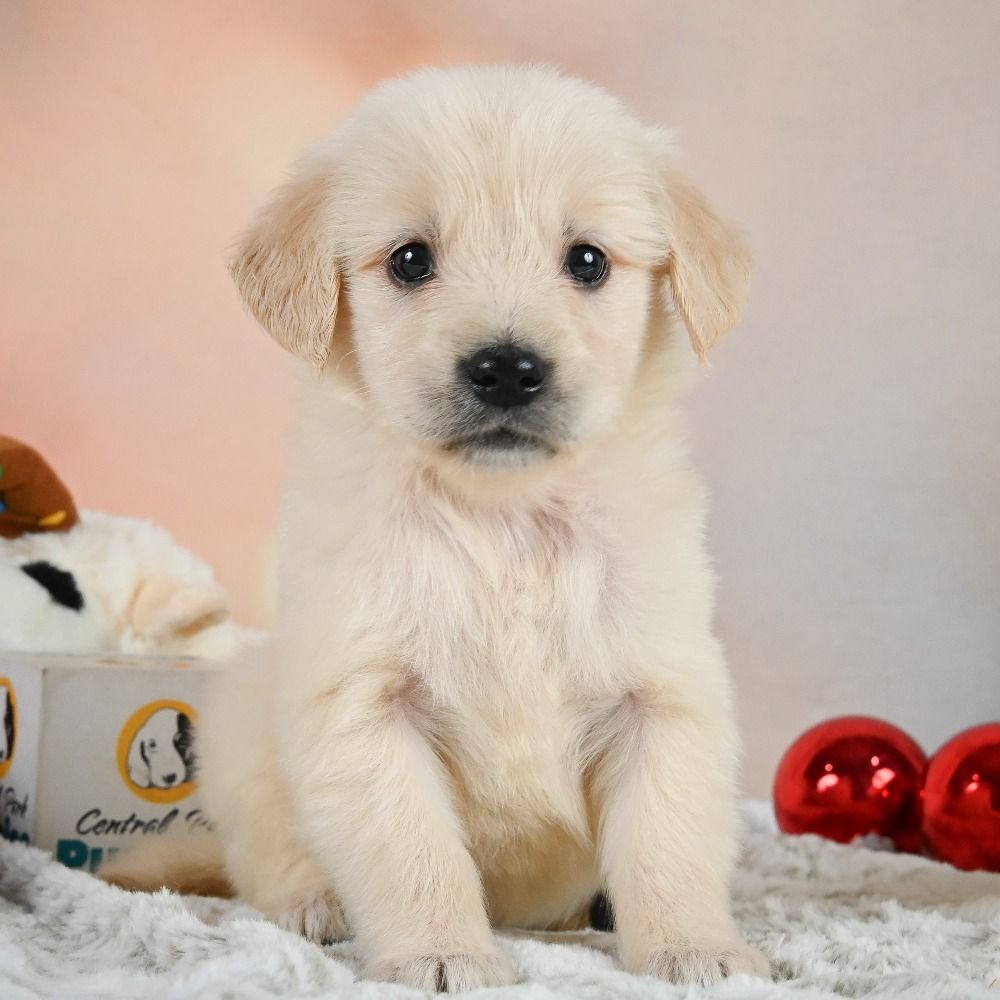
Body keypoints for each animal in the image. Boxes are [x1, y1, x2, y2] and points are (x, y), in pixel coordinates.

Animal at [103, 62, 764, 992]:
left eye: (588, 260)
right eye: (411, 260)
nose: (507, 368)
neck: (502, 517)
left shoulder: (662, 696)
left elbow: (669, 845)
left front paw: (694, 948)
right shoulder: (365, 703)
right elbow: (415, 851)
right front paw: (444, 953)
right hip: (239, 730)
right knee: (262, 858)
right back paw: (314, 904)